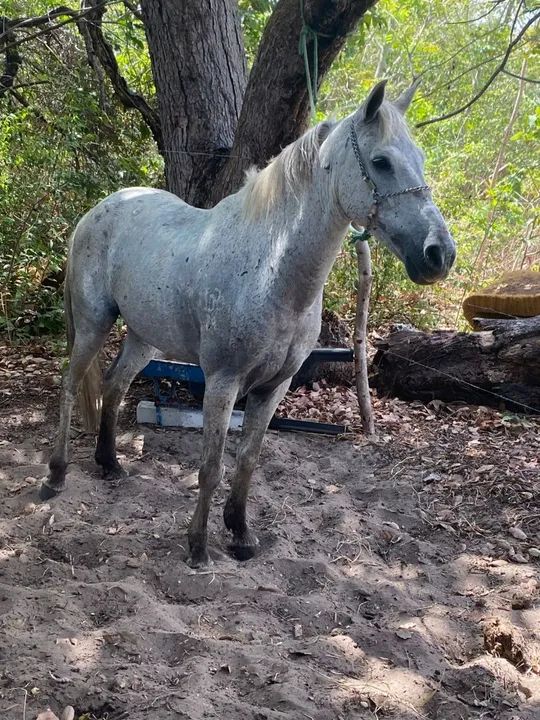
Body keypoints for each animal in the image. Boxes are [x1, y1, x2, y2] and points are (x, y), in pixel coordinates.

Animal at [42, 81, 455, 567]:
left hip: (144, 339)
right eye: (381, 161)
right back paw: (56, 475)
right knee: (71, 387)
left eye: (419, 158)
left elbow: (247, 462)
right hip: (93, 325)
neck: (270, 269)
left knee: (113, 385)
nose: (439, 254)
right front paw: (198, 546)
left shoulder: (273, 387)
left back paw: (109, 464)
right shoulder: (223, 382)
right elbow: (211, 466)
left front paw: (240, 534)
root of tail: (100, 209)